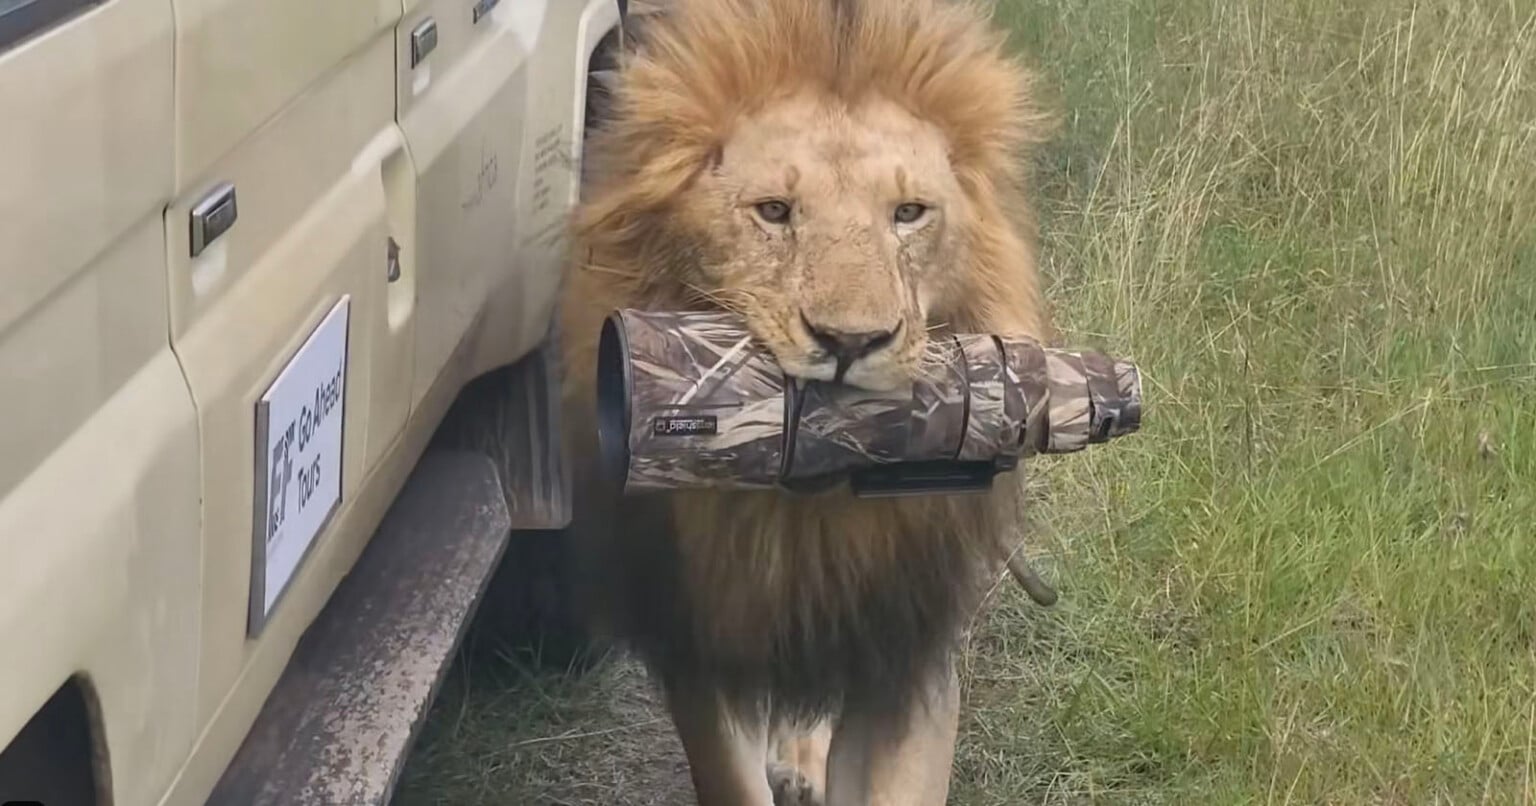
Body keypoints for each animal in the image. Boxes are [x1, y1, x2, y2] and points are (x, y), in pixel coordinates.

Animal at [557, 0, 1053, 802]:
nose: (852, 341)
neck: (809, 524)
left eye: (909, 213)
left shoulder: (908, 653)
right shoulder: (697, 643)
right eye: (773, 211)